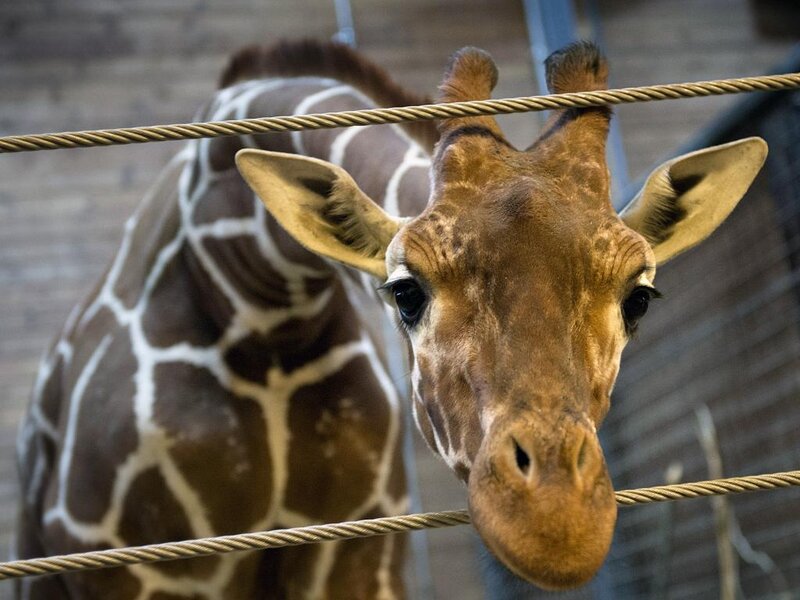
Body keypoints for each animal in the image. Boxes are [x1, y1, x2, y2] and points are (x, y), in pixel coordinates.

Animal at [15, 40, 767, 598]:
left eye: (638, 296)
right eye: (406, 292)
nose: (556, 524)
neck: (259, 303)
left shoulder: (356, 550)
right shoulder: (130, 566)